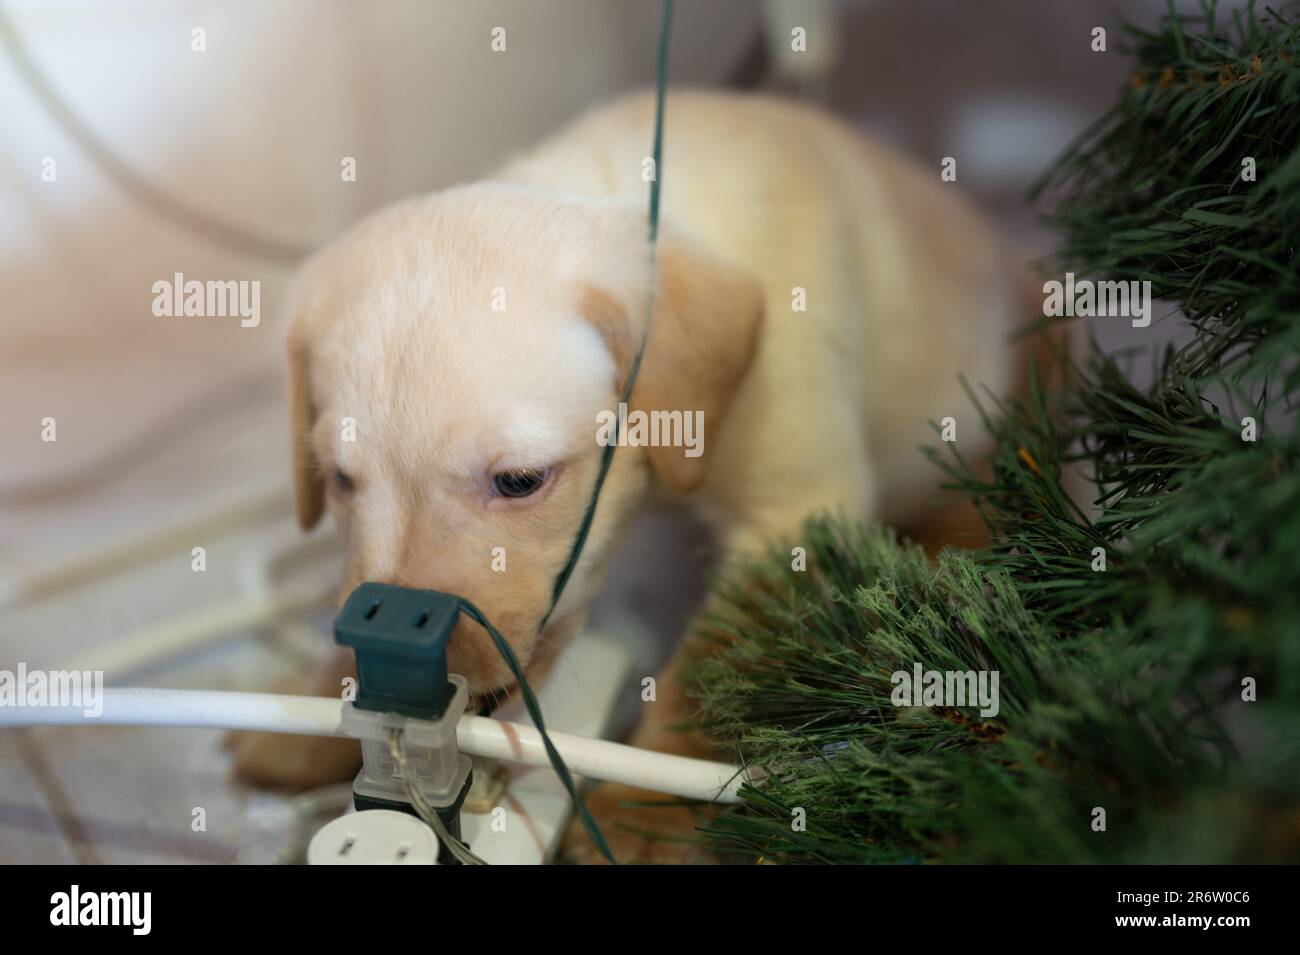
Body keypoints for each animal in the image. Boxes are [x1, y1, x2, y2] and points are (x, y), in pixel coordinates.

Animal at [236, 91, 1024, 867]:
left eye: (519, 480)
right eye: (340, 481)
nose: (396, 669)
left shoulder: (793, 510)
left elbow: (716, 662)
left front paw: (641, 809)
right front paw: (312, 712)